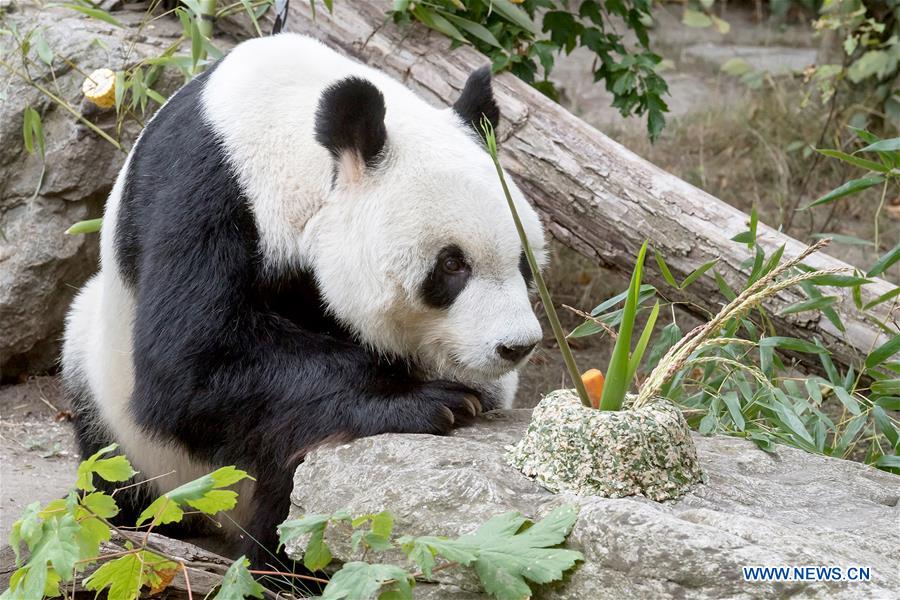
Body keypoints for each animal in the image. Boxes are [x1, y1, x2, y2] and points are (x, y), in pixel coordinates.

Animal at [63, 34, 544, 568]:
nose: (516, 346)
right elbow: (194, 365)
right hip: (122, 411)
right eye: (452, 265)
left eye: (523, 262)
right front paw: (429, 402)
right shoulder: (206, 189)